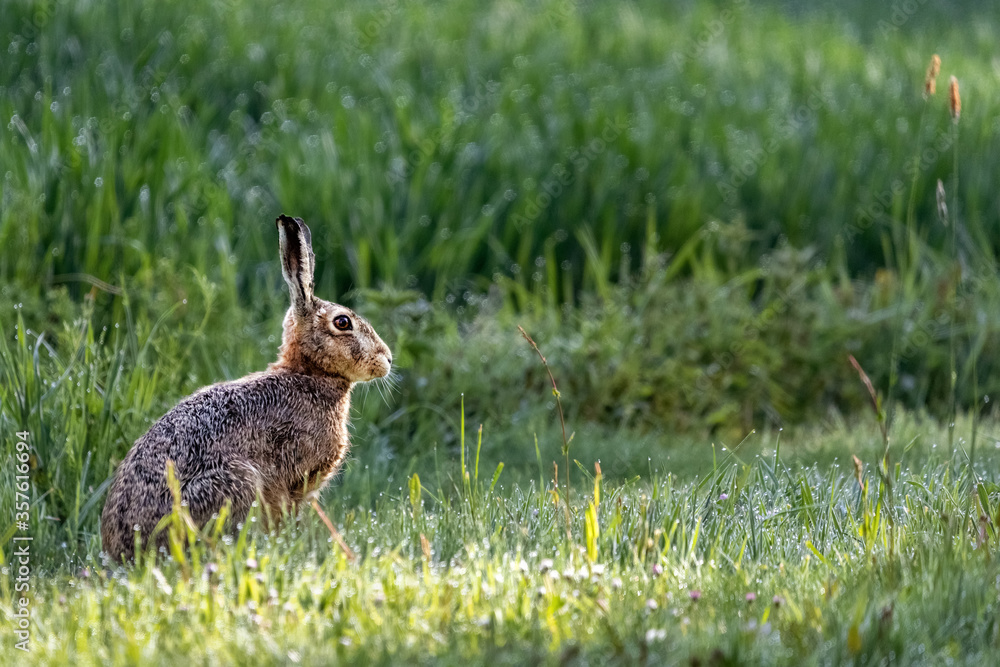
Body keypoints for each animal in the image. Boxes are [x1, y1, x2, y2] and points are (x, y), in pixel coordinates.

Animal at [100, 214, 392, 561]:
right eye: (343, 322)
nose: (387, 359)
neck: (308, 373)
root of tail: (126, 553)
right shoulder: (294, 481)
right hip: (235, 483)